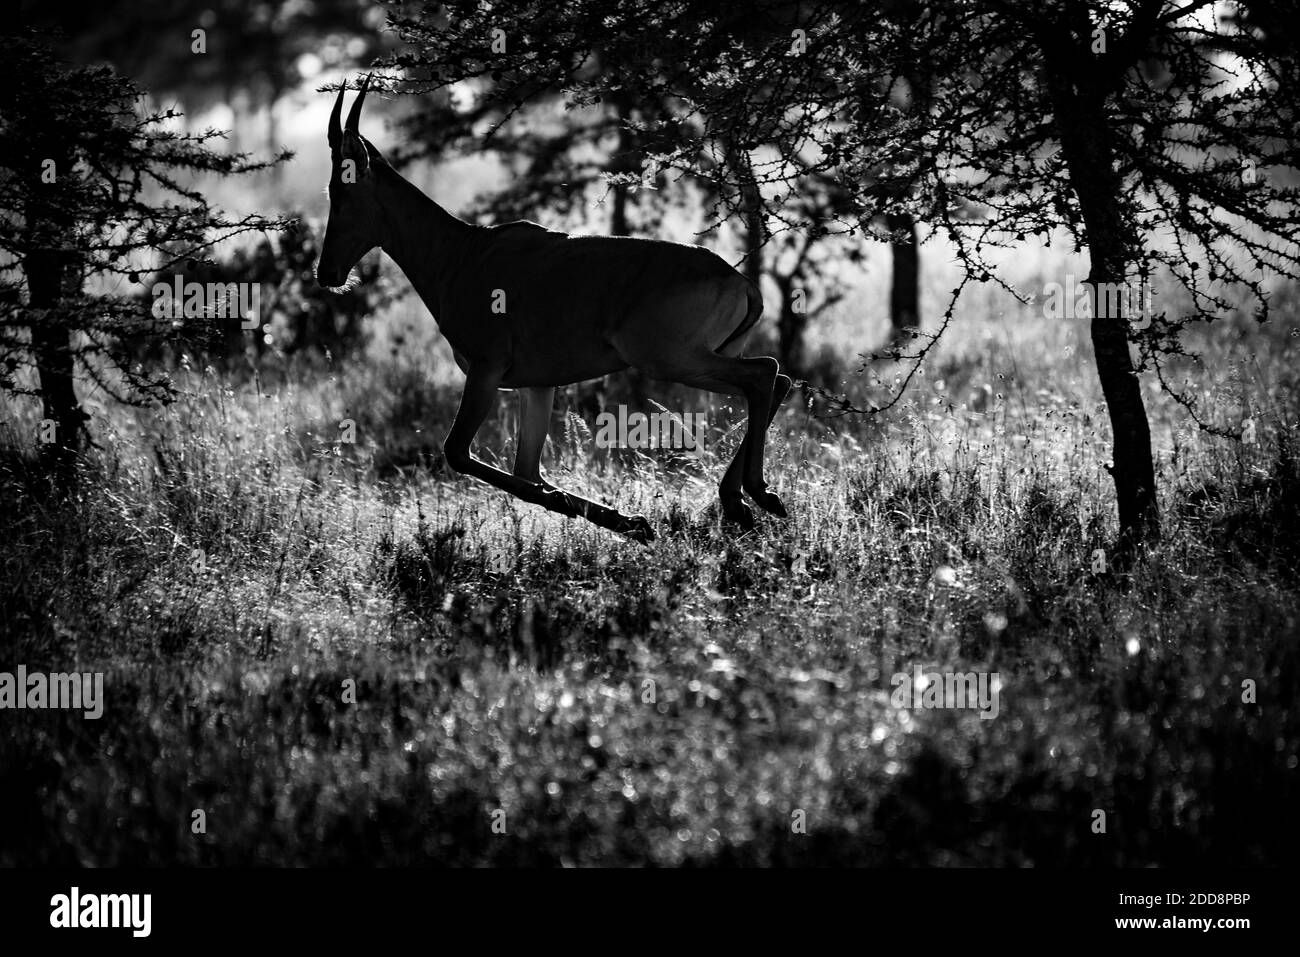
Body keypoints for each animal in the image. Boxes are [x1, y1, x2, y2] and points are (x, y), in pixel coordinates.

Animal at [319, 78, 795, 540]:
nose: (327, 272)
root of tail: (737, 280)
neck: (463, 252)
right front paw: (635, 522)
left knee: (765, 373)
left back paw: (756, 497)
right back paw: (739, 503)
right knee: (776, 379)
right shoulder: (537, 385)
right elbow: (529, 474)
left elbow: (463, 456)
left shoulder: (486, 370)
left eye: (339, 191)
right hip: (701, 360)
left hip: (672, 360)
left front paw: (636, 524)